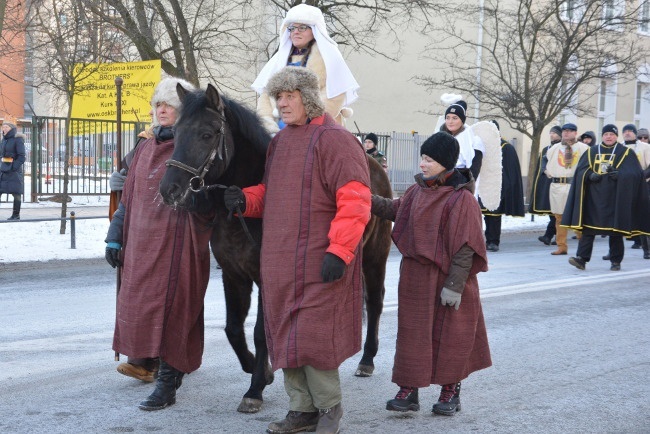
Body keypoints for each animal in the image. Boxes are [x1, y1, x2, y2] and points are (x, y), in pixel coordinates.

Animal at [158, 85, 390, 414]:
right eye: (176, 132)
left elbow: (259, 331)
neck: (241, 211)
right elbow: (232, 328)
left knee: (375, 301)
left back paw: (367, 359)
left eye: (207, 133)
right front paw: (258, 368)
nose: (170, 190)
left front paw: (255, 388)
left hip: (375, 257)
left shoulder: (267, 279)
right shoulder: (234, 276)